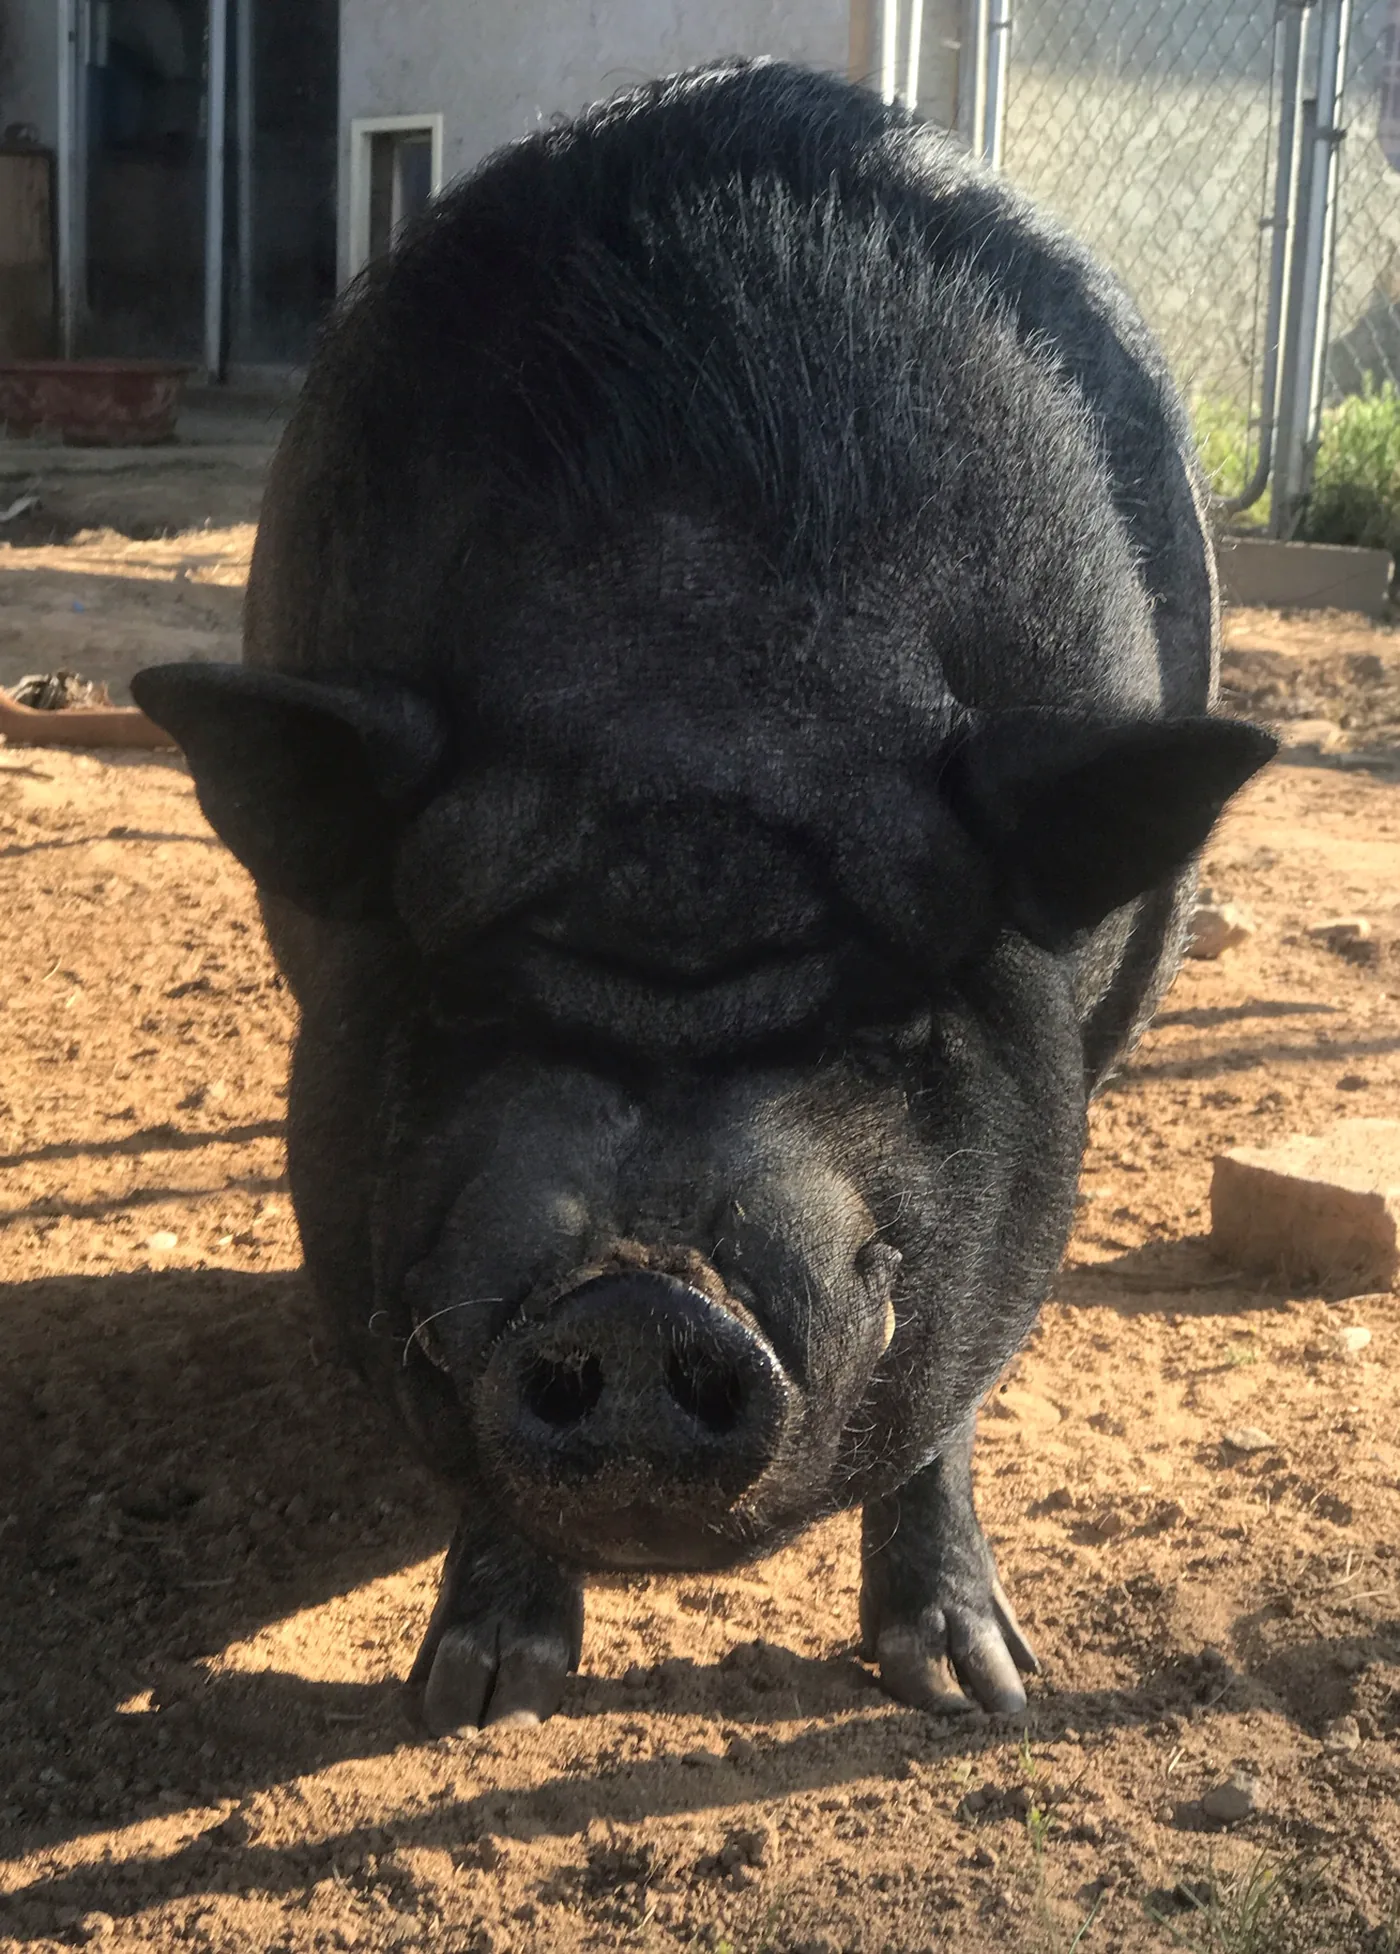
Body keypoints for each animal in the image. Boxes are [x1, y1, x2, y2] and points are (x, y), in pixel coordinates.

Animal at [132, 60, 1274, 1733]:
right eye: (463, 995)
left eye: (888, 1020)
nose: (642, 1296)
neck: (698, 660)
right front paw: (478, 1692)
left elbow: (952, 1394)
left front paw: (975, 1689)